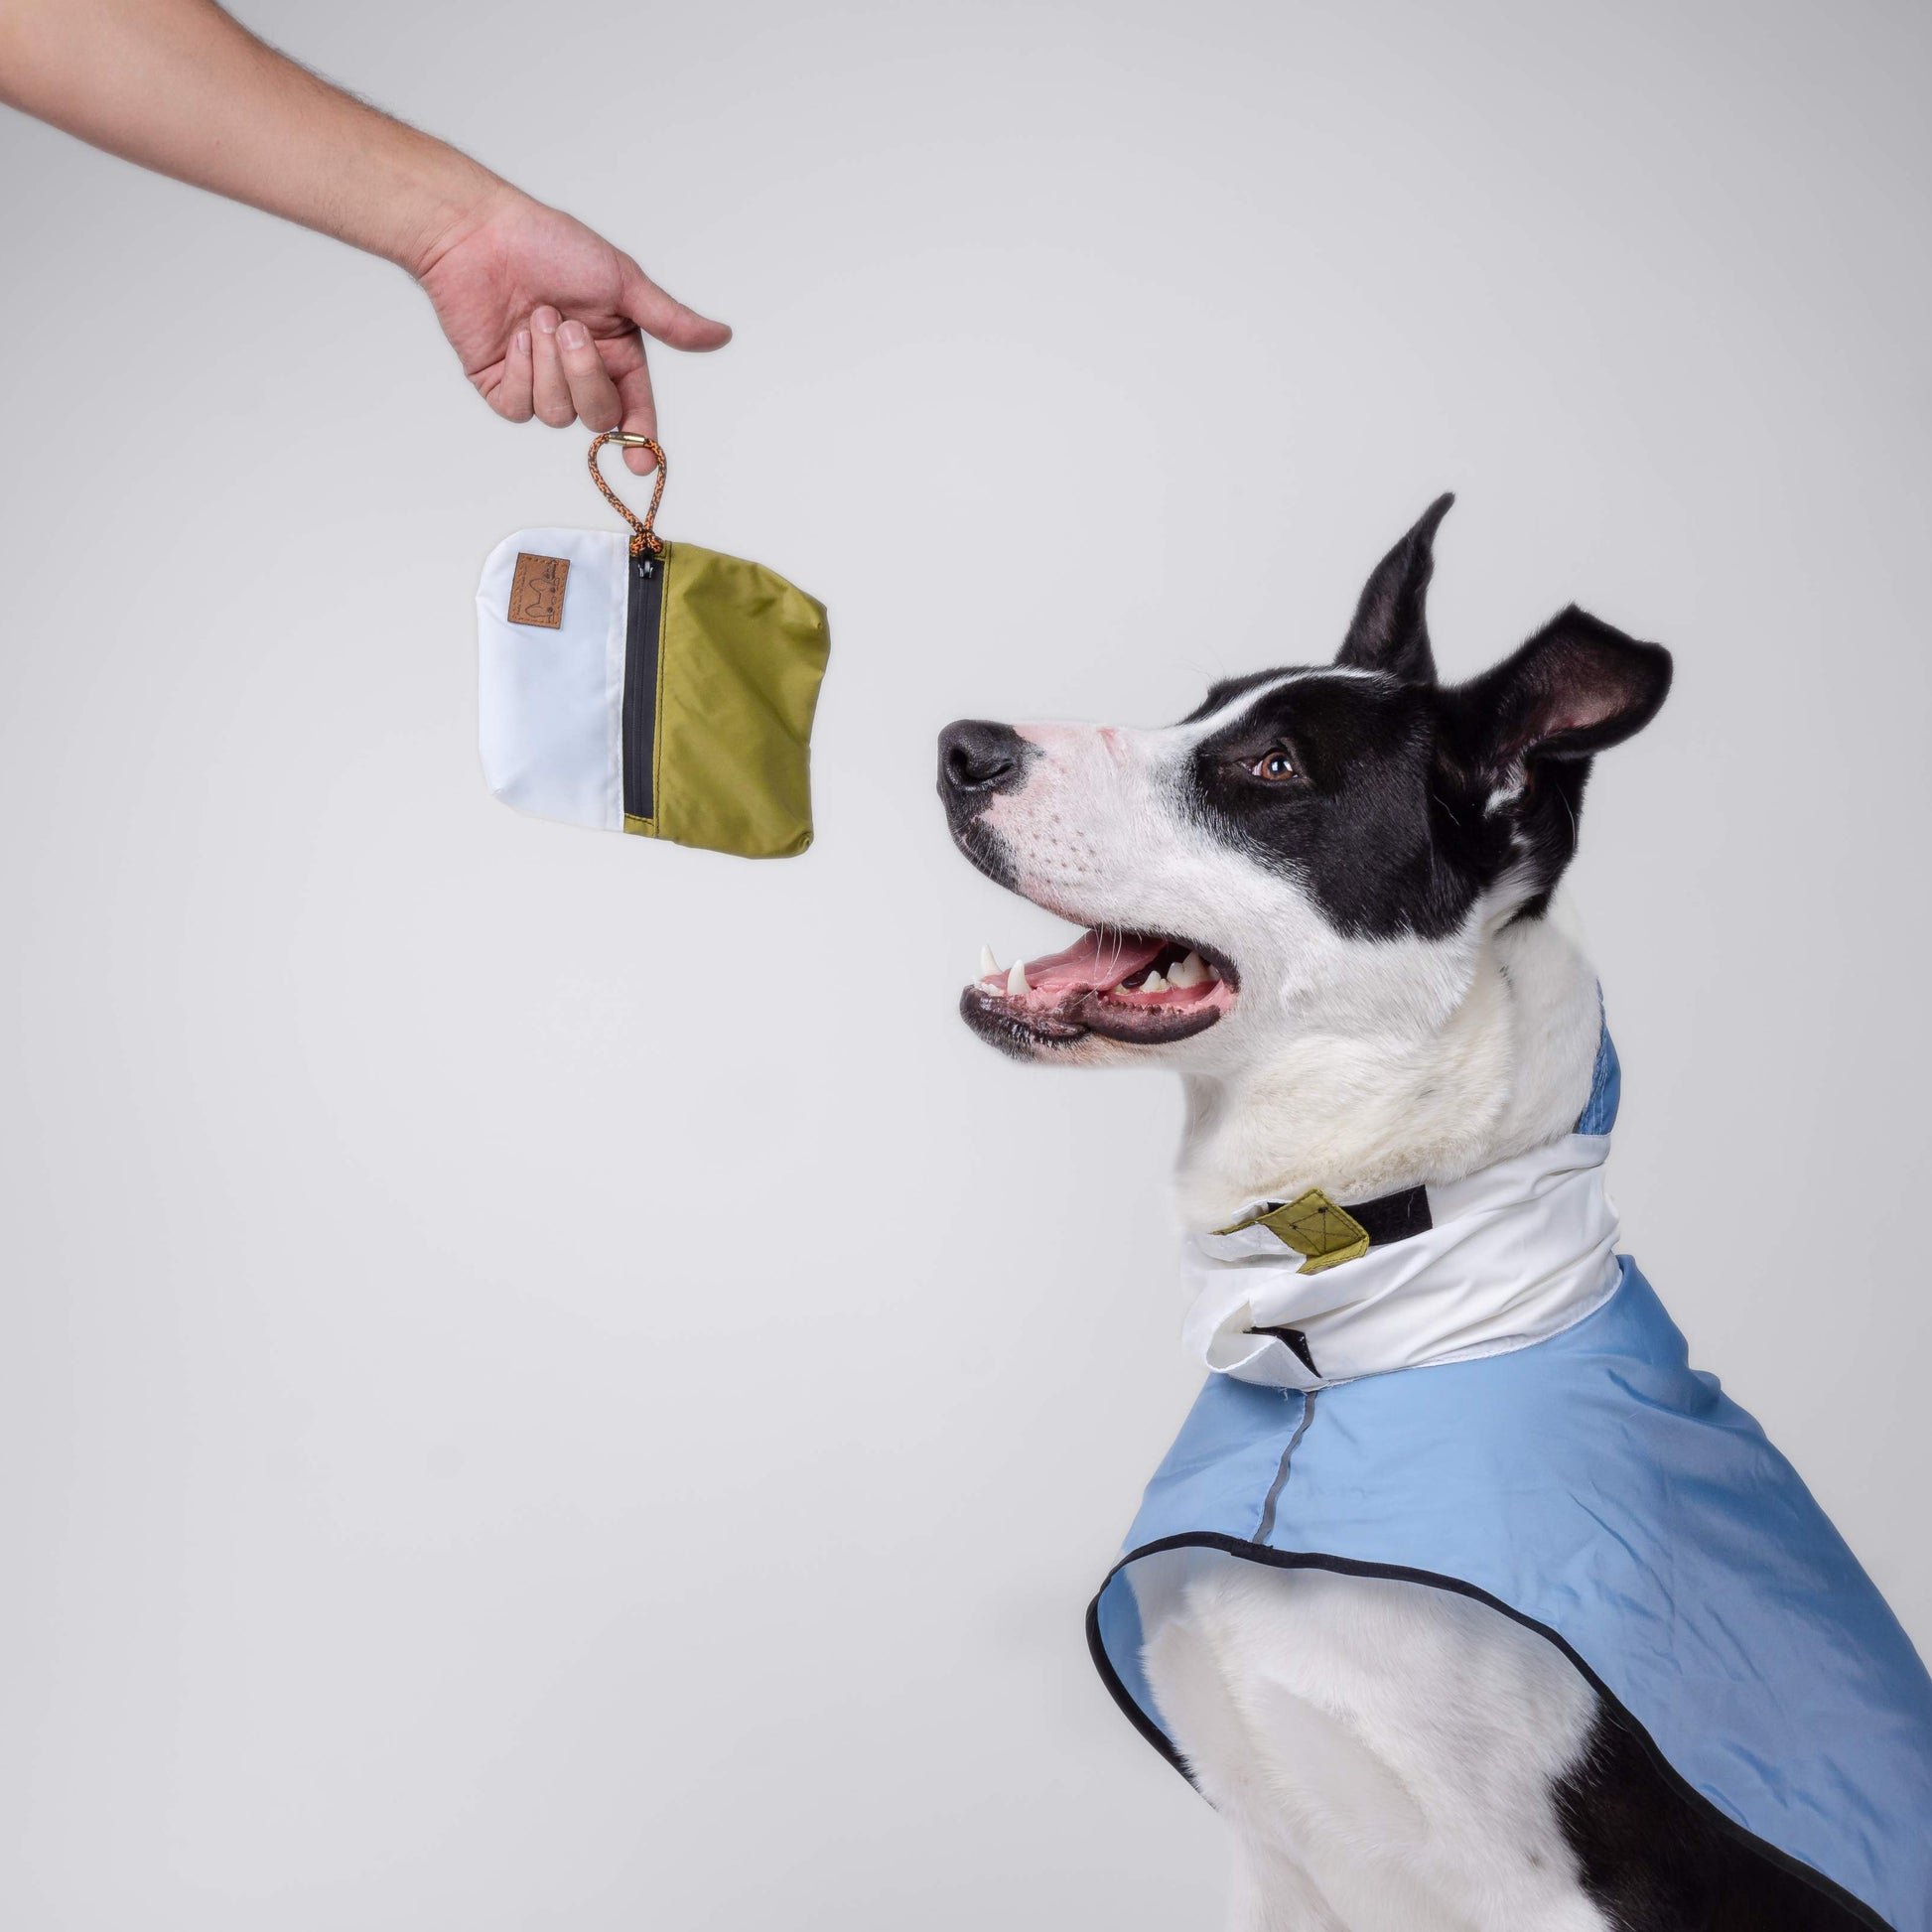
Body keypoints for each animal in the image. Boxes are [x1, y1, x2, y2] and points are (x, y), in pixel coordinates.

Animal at [934, 498, 1932, 1932]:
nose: (960, 748)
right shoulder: (1274, 1861)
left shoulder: (1550, 1897)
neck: (1348, 1361)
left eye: (1272, 765)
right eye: (1199, 706)